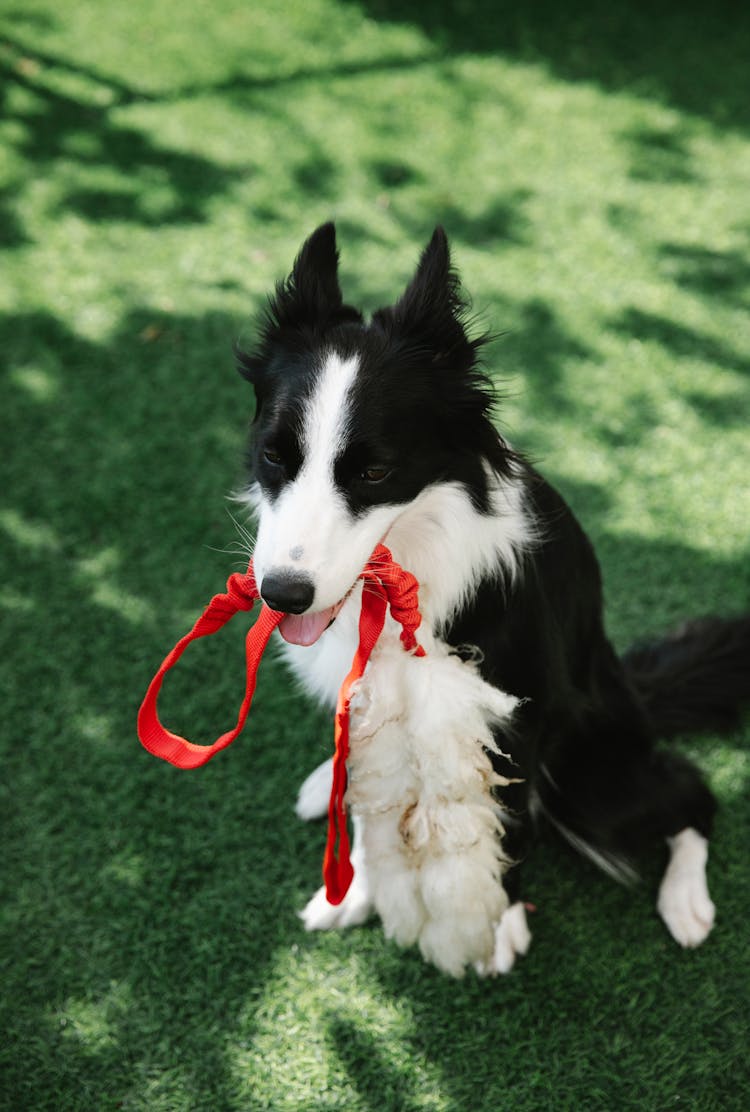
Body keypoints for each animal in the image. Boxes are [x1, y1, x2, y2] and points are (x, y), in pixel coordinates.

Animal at [234, 223, 747, 974]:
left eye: (376, 471)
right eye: (275, 456)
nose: (283, 594)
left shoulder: (513, 714)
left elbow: (506, 820)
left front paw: (497, 924)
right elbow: (373, 800)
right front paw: (355, 892)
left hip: (594, 780)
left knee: (689, 793)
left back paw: (686, 902)